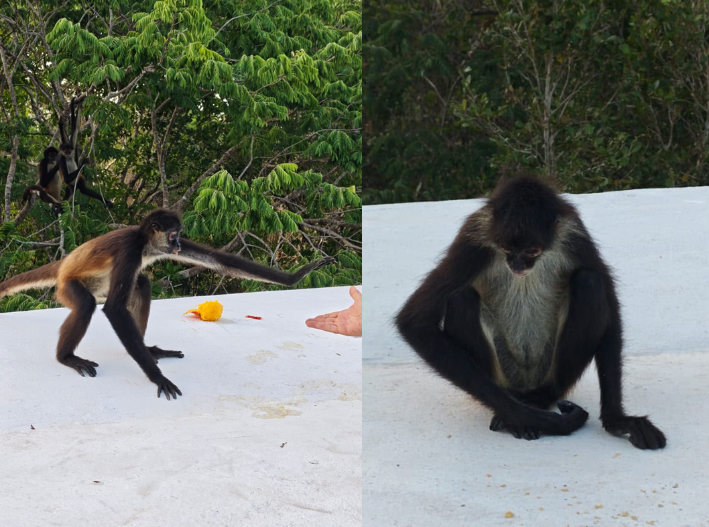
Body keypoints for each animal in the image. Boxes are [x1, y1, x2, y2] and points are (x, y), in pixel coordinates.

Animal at [0, 209, 335, 400]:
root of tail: (64, 265)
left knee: (142, 284)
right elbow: (114, 310)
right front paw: (157, 378)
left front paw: (296, 276)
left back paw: (148, 349)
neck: (144, 243)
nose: (175, 245)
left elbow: (222, 261)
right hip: (70, 285)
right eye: (173, 235)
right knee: (85, 305)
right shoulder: (130, 250)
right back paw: (67, 357)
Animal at [395, 177, 666, 450]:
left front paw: (618, 421)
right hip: (503, 373)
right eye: (506, 249)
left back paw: (541, 397)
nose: (516, 265)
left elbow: (611, 309)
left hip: (547, 369)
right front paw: (534, 420)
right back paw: (517, 412)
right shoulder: (472, 239)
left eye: (532, 251)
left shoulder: (574, 233)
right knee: (461, 297)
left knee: (590, 283)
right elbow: (414, 322)